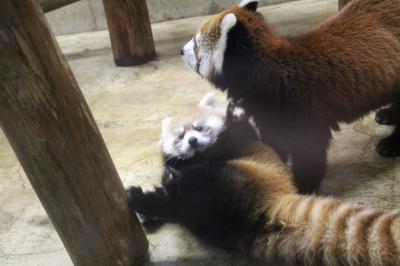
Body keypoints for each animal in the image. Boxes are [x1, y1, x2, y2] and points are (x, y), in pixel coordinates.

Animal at [180, 0, 400, 193]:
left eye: (196, 46)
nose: (181, 51)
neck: (268, 73)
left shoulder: (304, 107)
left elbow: (309, 151)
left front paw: (303, 186)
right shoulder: (268, 113)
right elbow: (272, 141)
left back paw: (390, 144)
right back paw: (388, 114)